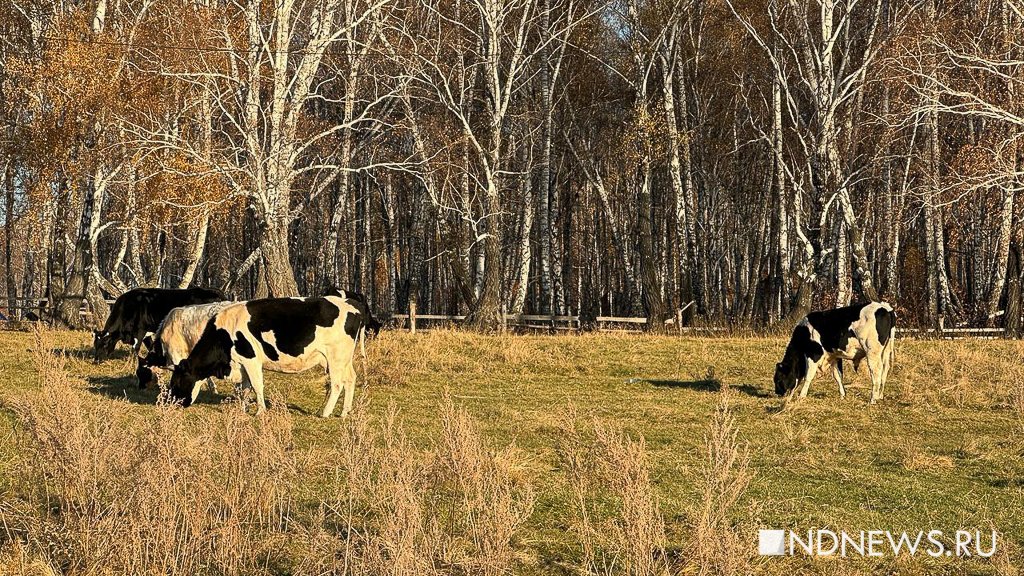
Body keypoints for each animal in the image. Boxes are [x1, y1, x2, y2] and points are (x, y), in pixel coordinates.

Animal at [93, 284, 227, 360]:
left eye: (104, 344)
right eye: (95, 344)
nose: (96, 360)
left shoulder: (140, 331)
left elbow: (135, 349)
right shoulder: (146, 333)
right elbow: (150, 347)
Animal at [167, 291, 376, 416]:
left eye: (176, 381)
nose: (172, 403)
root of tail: (354, 304)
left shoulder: (251, 359)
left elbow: (257, 386)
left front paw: (260, 412)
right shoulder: (242, 364)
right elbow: (244, 388)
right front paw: (242, 408)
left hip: (335, 357)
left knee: (337, 383)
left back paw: (325, 413)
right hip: (343, 359)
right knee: (351, 379)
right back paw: (344, 412)